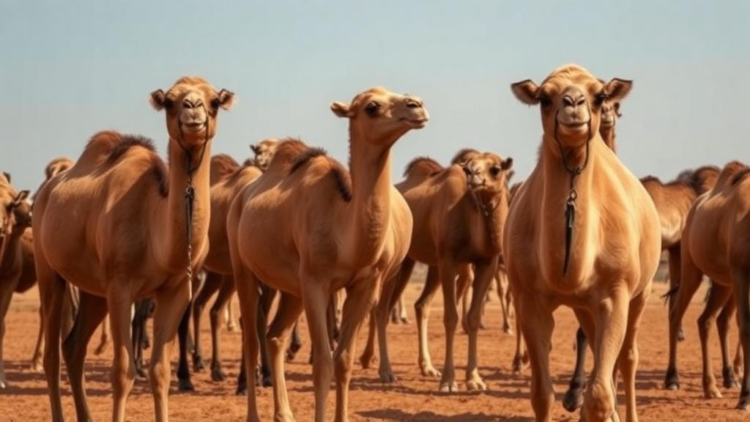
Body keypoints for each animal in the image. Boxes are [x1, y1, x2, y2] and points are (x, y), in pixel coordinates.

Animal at [33, 76, 234, 422]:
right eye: (170, 101)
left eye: (215, 101)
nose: (192, 109)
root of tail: (45, 192)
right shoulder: (121, 285)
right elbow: (123, 372)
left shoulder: (176, 289)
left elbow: (160, 372)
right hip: (48, 270)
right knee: (52, 356)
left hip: (94, 291)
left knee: (73, 348)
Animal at [227, 87, 428, 422]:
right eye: (372, 106)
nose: (417, 106)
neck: (342, 225)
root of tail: (241, 198)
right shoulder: (316, 282)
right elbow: (322, 362)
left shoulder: (363, 285)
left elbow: (343, 359)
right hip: (243, 267)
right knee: (252, 340)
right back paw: (255, 414)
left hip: (293, 287)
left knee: (275, 336)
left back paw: (285, 413)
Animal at [366, 148, 512, 392]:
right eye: (468, 167)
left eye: (496, 168)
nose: (474, 174)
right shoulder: (448, 259)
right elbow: (451, 317)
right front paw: (449, 381)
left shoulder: (487, 262)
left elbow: (472, 318)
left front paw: (475, 379)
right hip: (398, 262)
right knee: (381, 308)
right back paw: (384, 370)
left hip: (420, 263)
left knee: (420, 305)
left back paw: (424, 367)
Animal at [506, 64, 660, 422]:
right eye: (544, 98)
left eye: (600, 95)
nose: (574, 104)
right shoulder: (528, 298)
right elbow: (541, 394)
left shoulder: (615, 293)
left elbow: (600, 395)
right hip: (583, 305)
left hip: (641, 292)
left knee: (628, 356)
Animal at [664, 161, 750, 409]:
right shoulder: (742, 272)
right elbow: (746, 327)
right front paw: (745, 398)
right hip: (692, 268)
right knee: (676, 314)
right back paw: (672, 379)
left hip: (724, 282)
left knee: (707, 320)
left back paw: (711, 386)